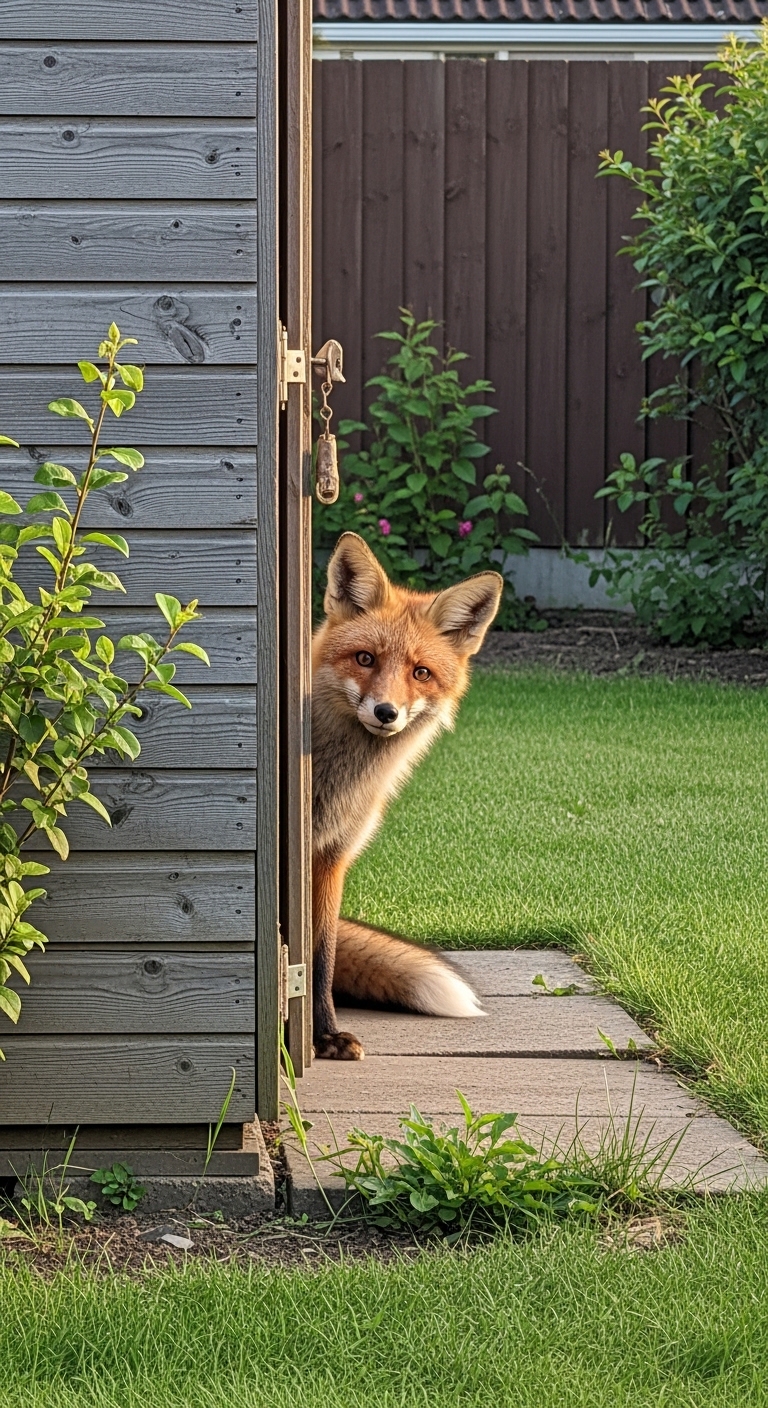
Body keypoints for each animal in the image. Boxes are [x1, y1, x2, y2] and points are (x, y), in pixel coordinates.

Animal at [311, 531, 503, 1060]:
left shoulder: (333, 858)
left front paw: (324, 1035)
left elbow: (321, 959)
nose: (386, 712)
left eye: (420, 672)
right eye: (365, 659)